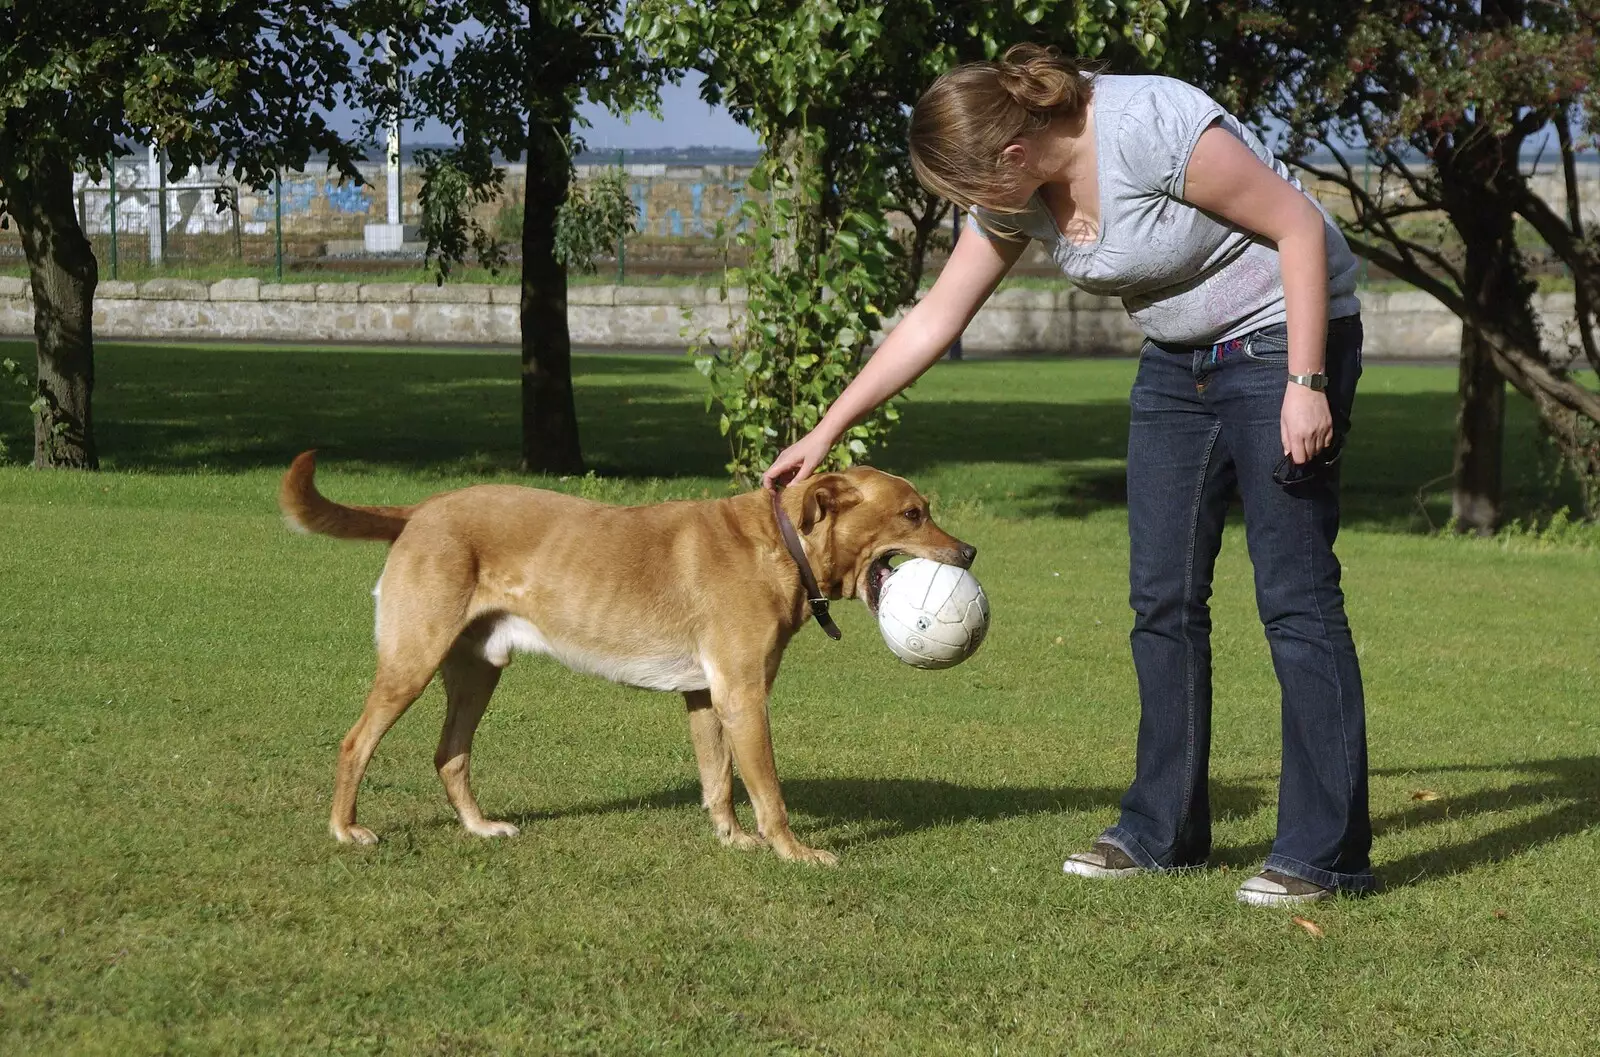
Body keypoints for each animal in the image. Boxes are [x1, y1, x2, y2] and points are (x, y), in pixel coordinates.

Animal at [278, 450, 972, 863]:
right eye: (913, 513)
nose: (968, 552)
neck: (780, 544)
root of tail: (420, 510)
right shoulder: (744, 695)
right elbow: (767, 791)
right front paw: (792, 851)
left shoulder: (706, 695)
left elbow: (719, 782)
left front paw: (732, 838)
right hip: (412, 660)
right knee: (356, 742)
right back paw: (345, 828)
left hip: (478, 671)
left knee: (449, 755)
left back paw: (479, 827)